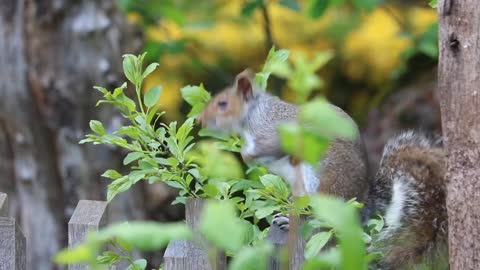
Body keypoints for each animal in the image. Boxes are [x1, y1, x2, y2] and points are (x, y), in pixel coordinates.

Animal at [197, 69, 448, 268]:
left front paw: (247, 155)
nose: (199, 120)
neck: (253, 113)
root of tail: (360, 204)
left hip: (320, 178)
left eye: (222, 104)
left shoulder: (275, 131)